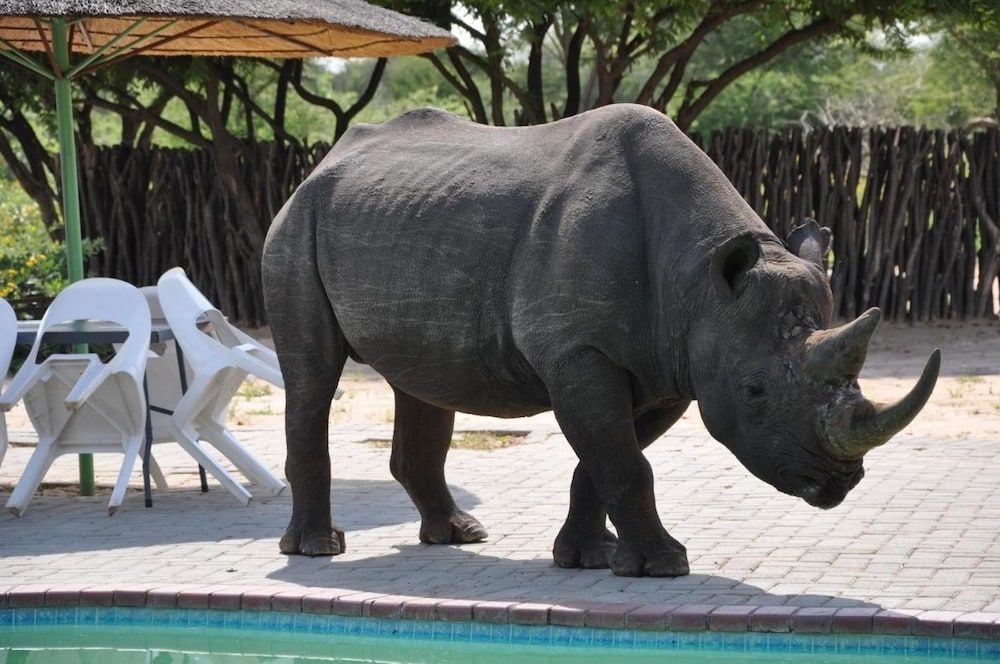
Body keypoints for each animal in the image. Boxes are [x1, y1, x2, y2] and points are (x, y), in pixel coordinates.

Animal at [261, 104, 939, 577]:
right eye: (753, 392)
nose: (838, 482)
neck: (698, 280)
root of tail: (318, 167)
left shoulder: (671, 365)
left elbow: (605, 459)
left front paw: (590, 558)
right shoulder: (581, 352)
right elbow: (624, 462)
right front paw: (664, 567)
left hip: (396, 220)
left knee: (422, 379)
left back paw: (459, 534)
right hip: (296, 222)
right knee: (312, 374)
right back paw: (318, 550)